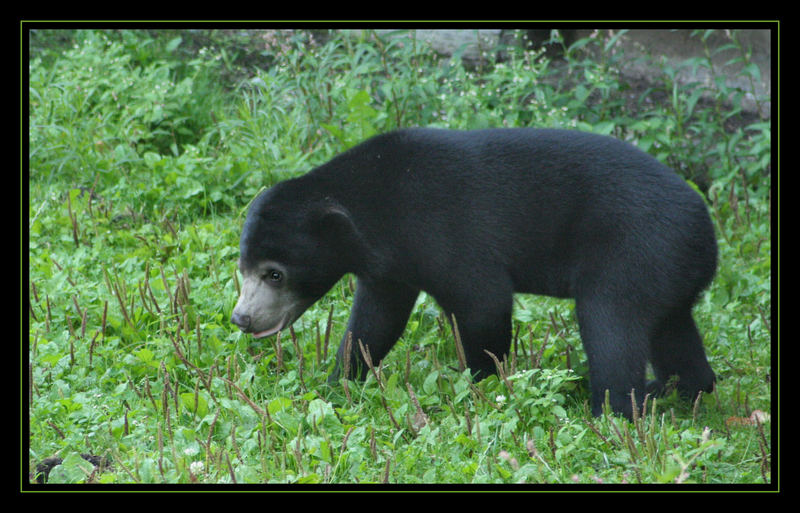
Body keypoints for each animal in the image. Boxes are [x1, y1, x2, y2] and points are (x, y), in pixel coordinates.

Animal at [231, 126, 720, 418]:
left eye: (274, 274)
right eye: (243, 269)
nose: (241, 318)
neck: (375, 215)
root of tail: (706, 233)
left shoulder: (445, 231)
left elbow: (482, 303)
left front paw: (482, 386)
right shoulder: (391, 265)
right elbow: (375, 321)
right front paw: (339, 382)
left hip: (632, 252)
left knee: (611, 327)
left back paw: (611, 410)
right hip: (665, 271)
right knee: (673, 332)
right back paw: (681, 390)